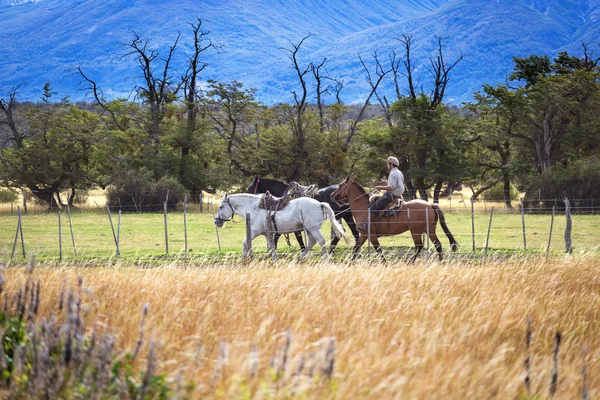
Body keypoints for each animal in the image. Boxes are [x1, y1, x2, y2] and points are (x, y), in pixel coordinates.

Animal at [214, 193, 346, 260]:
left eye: (221, 206)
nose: (216, 222)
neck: (253, 208)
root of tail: (319, 204)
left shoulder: (254, 231)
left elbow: (245, 242)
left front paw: (243, 258)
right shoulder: (267, 233)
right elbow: (272, 245)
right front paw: (274, 257)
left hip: (313, 229)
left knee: (321, 241)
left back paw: (324, 258)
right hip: (309, 229)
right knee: (312, 242)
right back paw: (302, 256)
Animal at [330, 177, 458, 260]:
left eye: (340, 185)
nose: (332, 195)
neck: (364, 208)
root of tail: (430, 205)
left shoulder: (371, 235)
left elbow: (378, 251)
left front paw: (385, 264)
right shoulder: (364, 235)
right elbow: (355, 249)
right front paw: (349, 263)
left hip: (416, 231)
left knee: (419, 246)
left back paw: (410, 262)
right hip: (429, 229)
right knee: (437, 244)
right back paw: (441, 262)